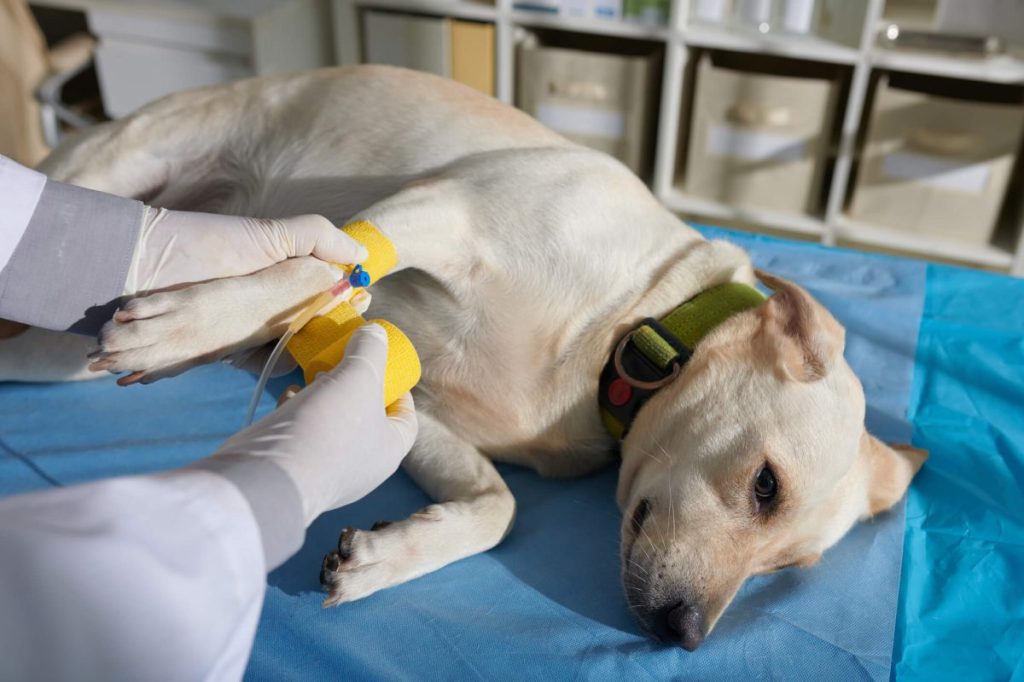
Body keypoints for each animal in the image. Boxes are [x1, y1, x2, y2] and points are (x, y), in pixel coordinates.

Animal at [2, 67, 929, 647]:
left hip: (53, 345)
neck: (631, 326)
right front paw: (196, 319)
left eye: (788, 567)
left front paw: (386, 557)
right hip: (115, 166)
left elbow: (497, 509)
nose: (686, 636)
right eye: (766, 485)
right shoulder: (436, 211)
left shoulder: (417, 409)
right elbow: (323, 264)